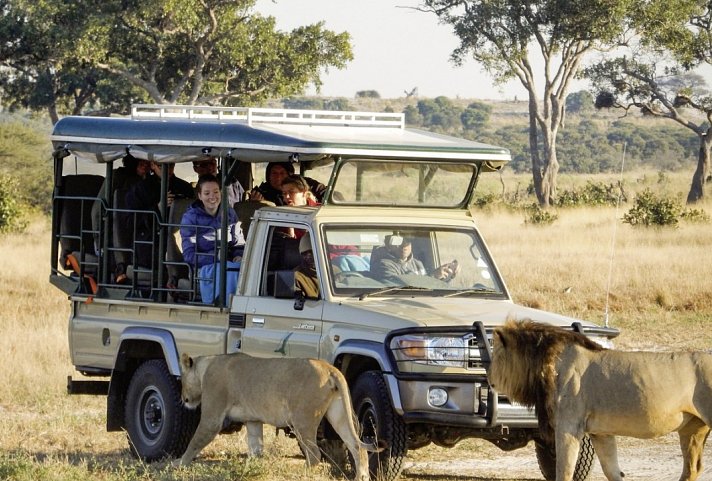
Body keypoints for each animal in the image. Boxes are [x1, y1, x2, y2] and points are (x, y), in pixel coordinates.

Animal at [490, 318, 712, 480]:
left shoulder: (568, 426)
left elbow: (564, 471)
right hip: (692, 429)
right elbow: (612, 471)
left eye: (496, 356)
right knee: (692, 468)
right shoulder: (600, 433)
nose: (489, 380)